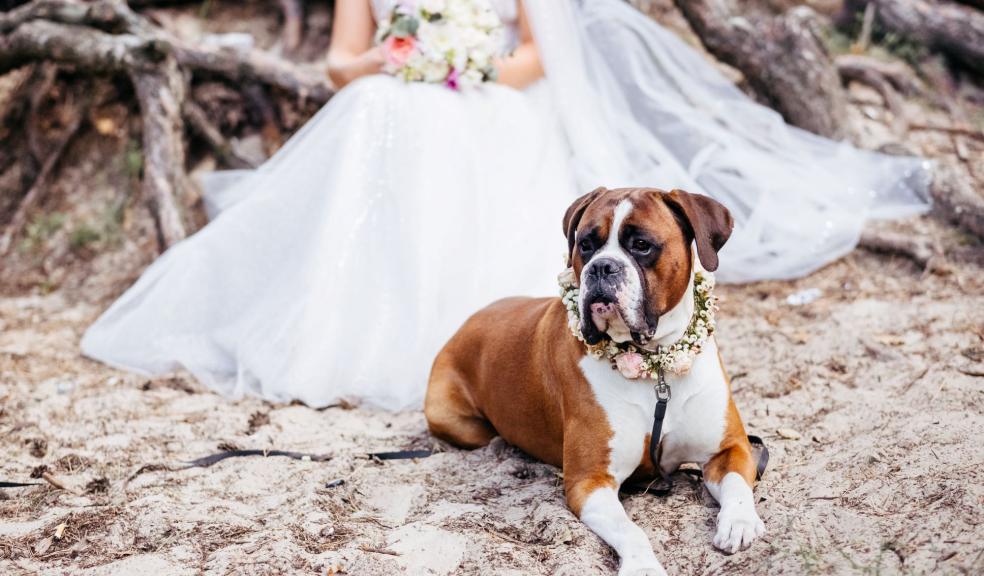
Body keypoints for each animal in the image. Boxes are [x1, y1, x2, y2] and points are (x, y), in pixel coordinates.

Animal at [426, 187, 764, 572]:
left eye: (642, 245)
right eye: (585, 245)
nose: (602, 266)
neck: (655, 368)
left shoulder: (730, 448)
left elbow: (737, 485)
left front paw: (739, 522)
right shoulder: (589, 483)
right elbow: (632, 530)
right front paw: (643, 567)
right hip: (454, 419)